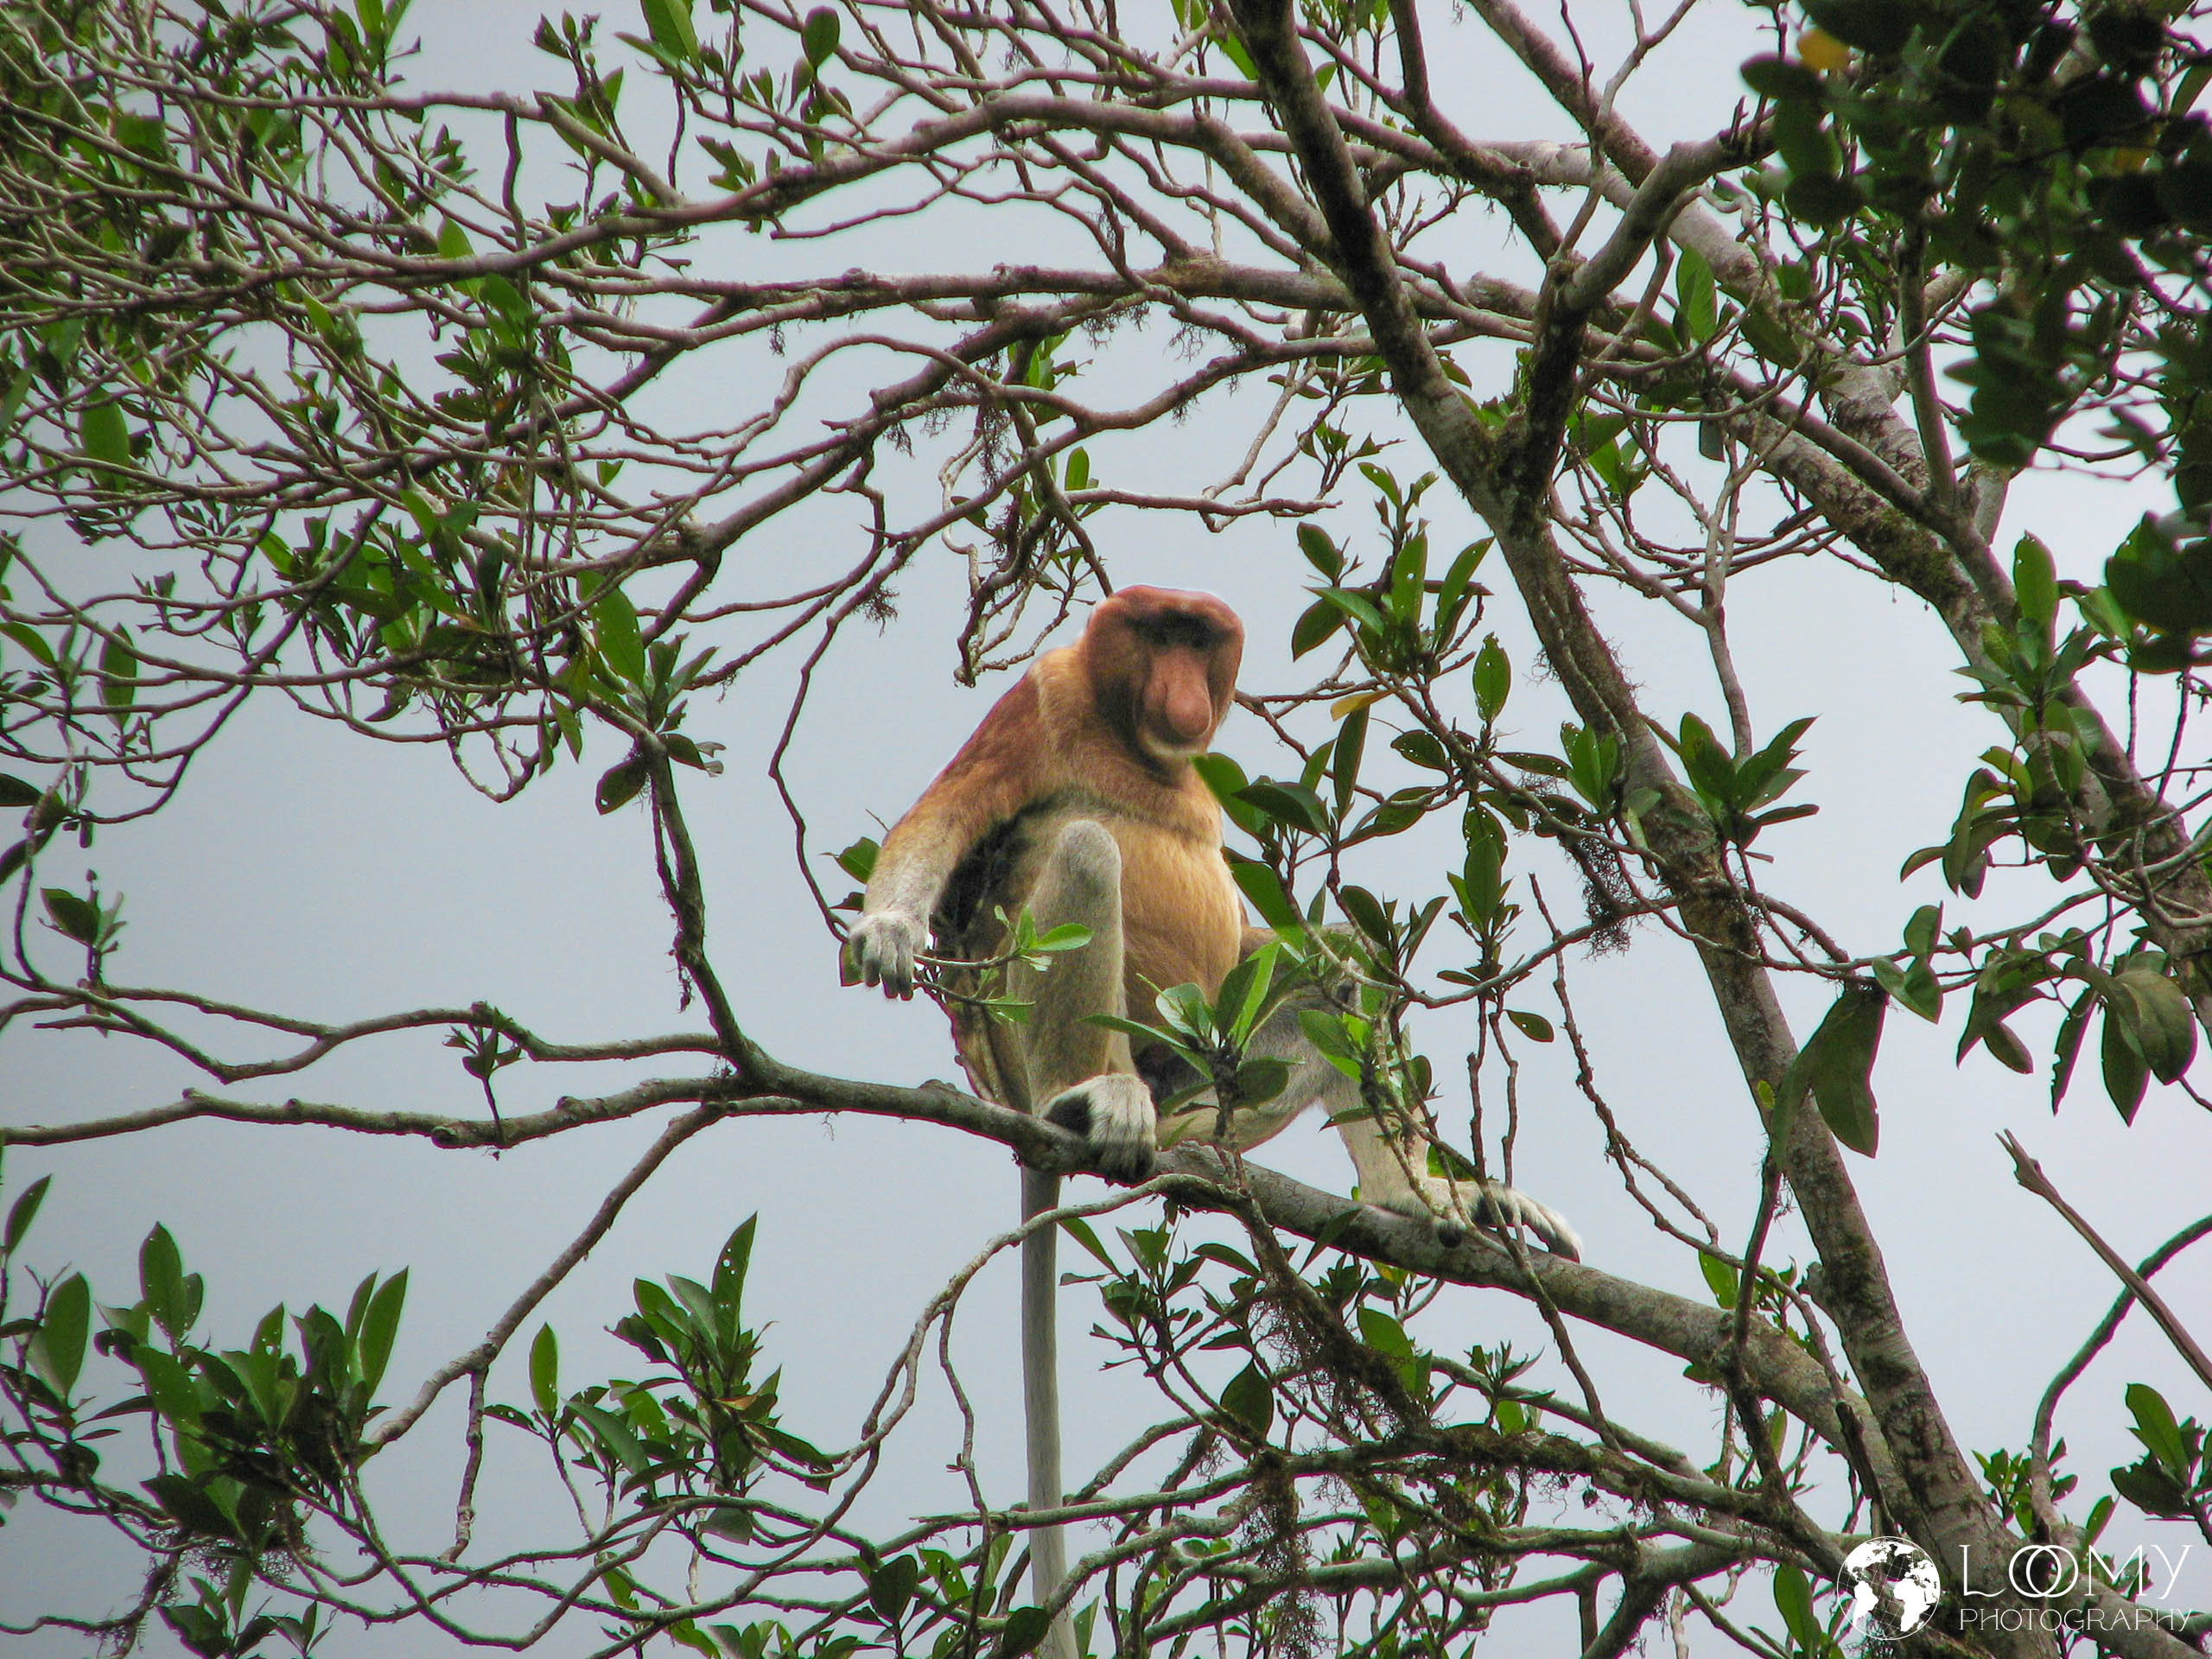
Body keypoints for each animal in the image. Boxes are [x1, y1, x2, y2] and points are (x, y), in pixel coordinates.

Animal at [845, 587, 1578, 1652]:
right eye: (1158, 634)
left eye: (1201, 641)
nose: (1186, 692)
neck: (1132, 740)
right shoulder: (1040, 700)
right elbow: (945, 818)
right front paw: (891, 929)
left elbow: (1276, 944)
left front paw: (1456, 1191)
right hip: (1025, 1045)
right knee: (1087, 853)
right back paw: (1092, 1101)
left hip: (1207, 1085)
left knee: (1341, 956)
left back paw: (1416, 1194)